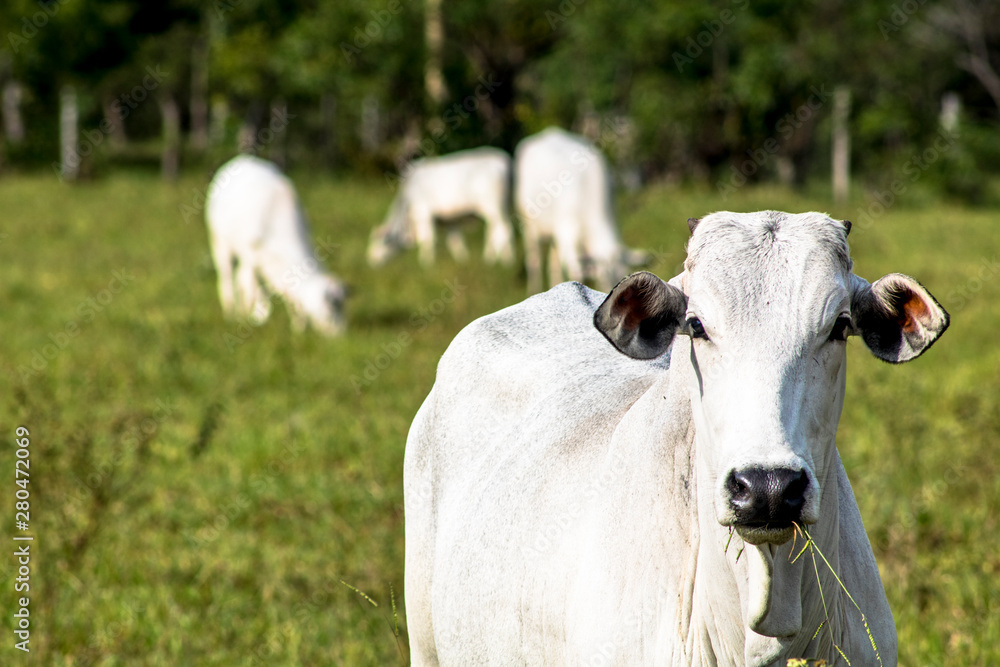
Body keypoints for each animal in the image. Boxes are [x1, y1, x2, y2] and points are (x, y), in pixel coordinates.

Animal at [203, 155, 348, 336]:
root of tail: (241, 158)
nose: (341, 335)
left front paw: (298, 327)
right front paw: (254, 317)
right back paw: (231, 312)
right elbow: (251, 287)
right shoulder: (250, 256)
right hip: (220, 243)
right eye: (329, 313)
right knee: (228, 276)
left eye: (343, 308)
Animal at [372, 148, 520, 268]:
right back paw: (501, 258)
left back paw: (497, 261)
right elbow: (454, 241)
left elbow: (426, 239)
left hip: (493, 207)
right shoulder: (450, 220)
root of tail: (504, 159)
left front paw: (426, 264)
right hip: (501, 208)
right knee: (494, 230)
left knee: (504, 229)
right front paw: (462, 259)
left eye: (380, 243)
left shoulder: (423, 212)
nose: (371, 260)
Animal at [512, 126, 644, 294]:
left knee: (552, 263)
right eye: (604, 280)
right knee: (534, 259)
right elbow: (576, 275)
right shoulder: (567, 234)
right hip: (529, 226)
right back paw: (534, 289)